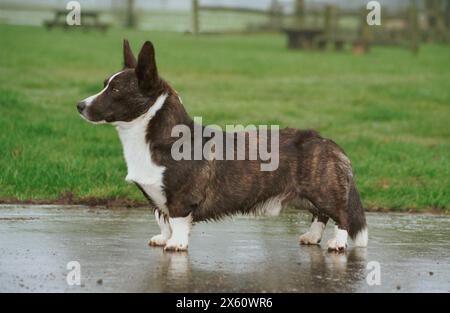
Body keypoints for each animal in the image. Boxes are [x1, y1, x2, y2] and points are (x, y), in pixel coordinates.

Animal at [77, 40, 368, 252]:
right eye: (105, 84)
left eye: (115, 90)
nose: (80, 105)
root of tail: (330, 143)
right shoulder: (157, 198)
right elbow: (162, 219)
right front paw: (162, 238)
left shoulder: (180, 197)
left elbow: (177, 221)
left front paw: (175, 244)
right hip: (308, 195)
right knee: (321, 215)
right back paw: (311, 236)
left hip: (323, 191)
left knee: (340, 215)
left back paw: (337, 243)